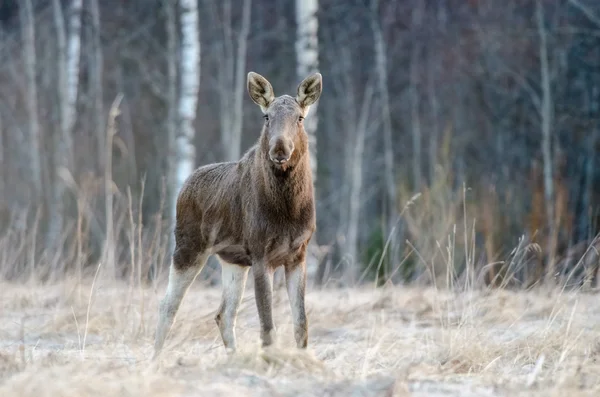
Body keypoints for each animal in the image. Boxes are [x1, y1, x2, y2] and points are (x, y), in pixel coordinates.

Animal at [154, 70, 324, 356]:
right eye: (267, 117)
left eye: (300, 118)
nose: (279, 149)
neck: (288, 212)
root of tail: (184, 185)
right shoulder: (260, 254)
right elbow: (267, 328)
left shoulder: (297, 254)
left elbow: (301, 325)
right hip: (189, 248)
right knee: (167, 306)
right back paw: (154, 360)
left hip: (233, 261)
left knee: (224, 314)